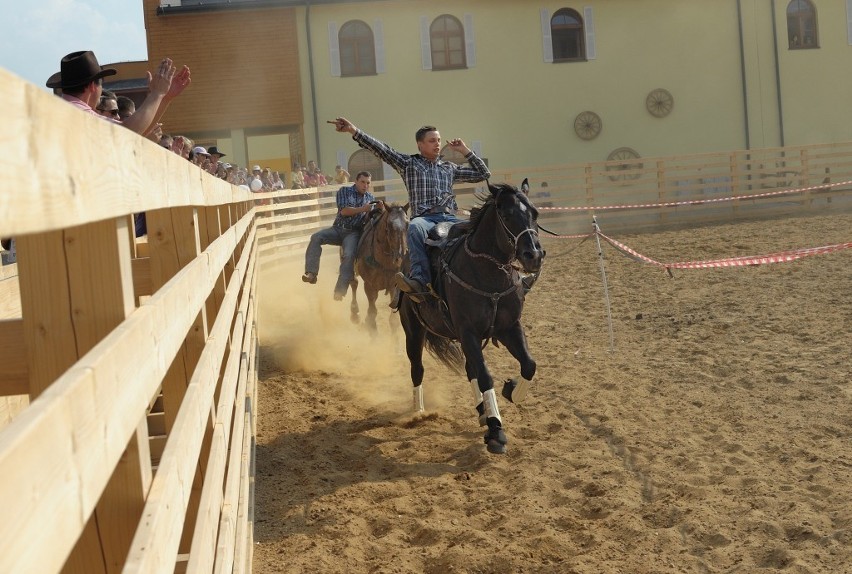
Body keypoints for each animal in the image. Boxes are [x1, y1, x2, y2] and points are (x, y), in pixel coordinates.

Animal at [348, 202, 412, 330]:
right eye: (390, 225)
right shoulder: (369, 286)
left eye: (407, 224)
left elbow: (393, 319)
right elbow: (372, 313)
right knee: (354, 283)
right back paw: (354, 313)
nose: (401, 254)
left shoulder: (394, 285)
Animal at [400, 180, 544, 454]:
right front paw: (496, 431)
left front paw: (511, 391)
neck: (489, 274)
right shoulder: (468, 332)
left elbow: (529, 365)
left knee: (470, 370)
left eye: (535, 213)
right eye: (507, 215)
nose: (534, 255)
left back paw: (482, 412)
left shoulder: (509, 327)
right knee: (417, 368)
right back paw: (419, 412)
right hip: (414, 330)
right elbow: (486, 375)